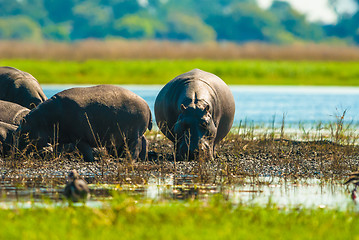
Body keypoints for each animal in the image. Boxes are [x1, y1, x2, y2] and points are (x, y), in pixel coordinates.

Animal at [17, 85, 153, 162]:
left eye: (23, 133)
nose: (15, 153)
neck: (41, 121)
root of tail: (146, 103)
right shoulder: (60, 138)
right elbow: (57, 149)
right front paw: (55, 158)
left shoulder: (79, 138)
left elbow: (85, 150)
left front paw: (90, 160)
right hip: (137, 133)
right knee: (145, 141)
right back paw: (142, 159)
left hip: (134, 134)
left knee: (136, 146)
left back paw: (130, 160)